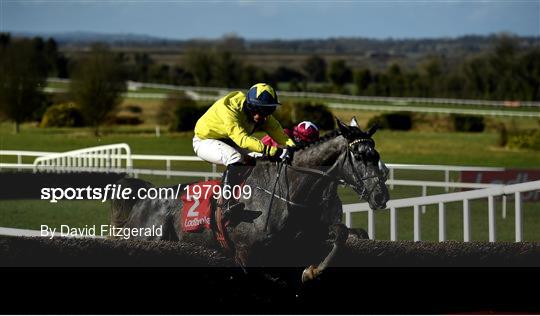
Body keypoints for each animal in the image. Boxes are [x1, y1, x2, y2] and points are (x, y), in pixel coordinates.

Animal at [110, 118, 388, 278]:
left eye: (376, 154)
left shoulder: (304, 236)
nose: (380, 195)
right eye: (360, 155)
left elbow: (341, 233)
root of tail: (144, 197)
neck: (288, 191)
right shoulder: (246, 253)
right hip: (150, 239)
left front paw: (311, 271)